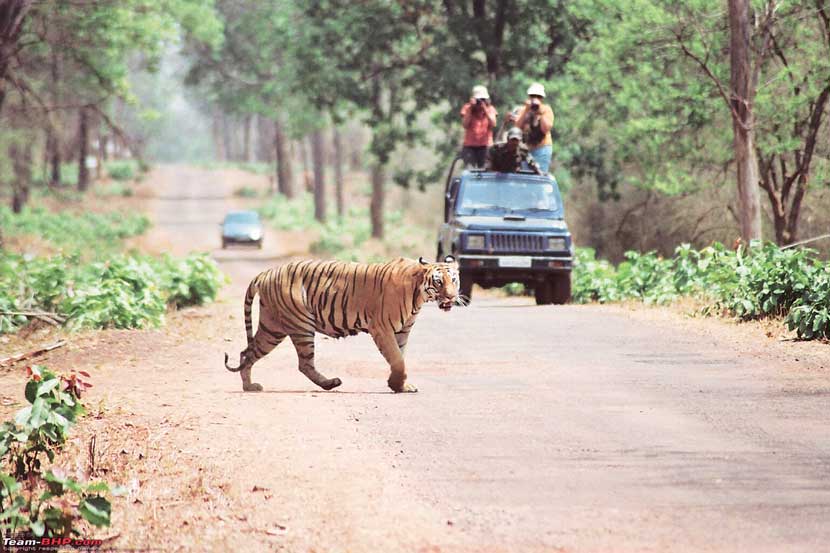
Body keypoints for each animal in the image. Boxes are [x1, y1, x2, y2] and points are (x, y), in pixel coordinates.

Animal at [224, 254, 464, 392]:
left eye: (454, 280)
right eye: (438, 282)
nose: (452, 297)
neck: (419, 294)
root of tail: (266, 272)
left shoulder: (402, 331)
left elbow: (400, 358)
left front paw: (399, 385)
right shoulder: (382, 328)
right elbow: (397, 359)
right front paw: (397, 385)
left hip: (272, 327)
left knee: (247, 352)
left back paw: (249, 386)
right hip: (300, 325)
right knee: (304, 364)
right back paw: (331, 383)